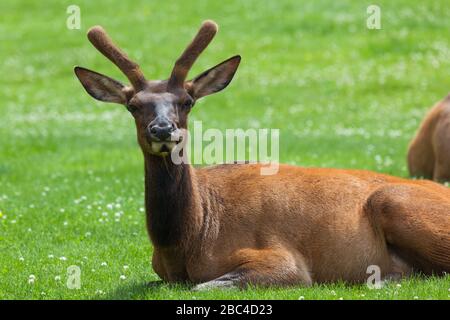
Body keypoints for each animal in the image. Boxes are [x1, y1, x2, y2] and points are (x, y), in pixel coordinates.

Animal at [75, 20, 448, 290]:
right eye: (134, 105)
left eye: (187, 101)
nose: (163, 129)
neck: (189, 239)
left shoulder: (283, 260)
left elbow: (203, 286)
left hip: (394, 200)